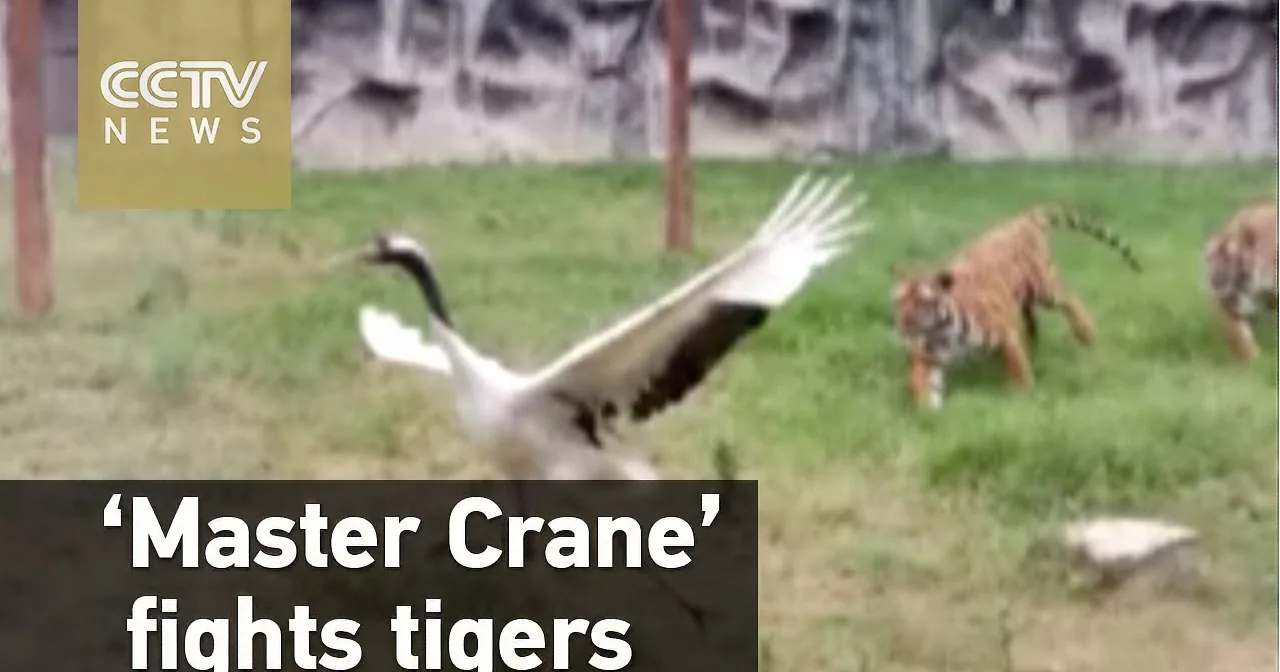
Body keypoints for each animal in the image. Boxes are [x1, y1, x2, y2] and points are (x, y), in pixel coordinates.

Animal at [891, 205, 1141, 409]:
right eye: (899, 302)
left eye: (923, 301)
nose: (905, 323)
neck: (941, 334)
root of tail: (1020, 220)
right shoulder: (926, 357)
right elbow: (921, 383)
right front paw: (927, 411)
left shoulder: (1006, 336)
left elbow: (1018, 370)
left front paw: (1023, 397)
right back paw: (1035, 343)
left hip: (1044, 285)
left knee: (1070, 298)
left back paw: (1086, 335)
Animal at [1202, 201, 1278, 362]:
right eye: (1210, 257)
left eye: (1231, 259)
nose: (1215, 280)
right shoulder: (1230, 305)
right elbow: (1240, 335)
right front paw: (1251, 359)